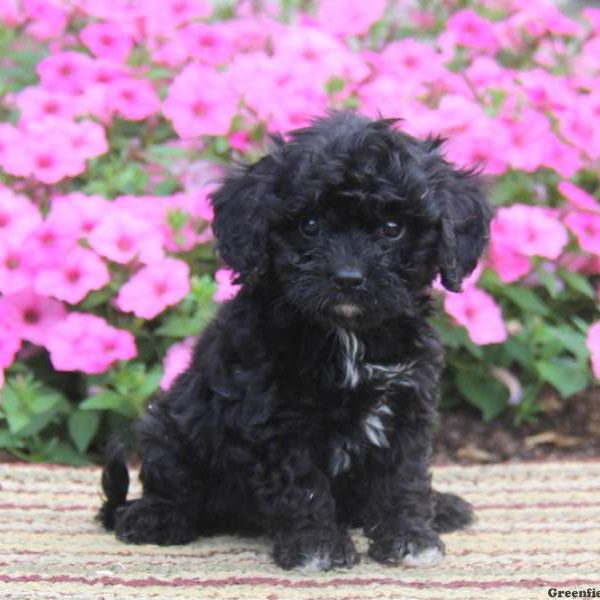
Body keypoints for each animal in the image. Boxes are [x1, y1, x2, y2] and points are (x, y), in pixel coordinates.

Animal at [99, 110, 492, 568]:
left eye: (393, 228)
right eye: (310, 225)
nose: (348, 278)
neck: (348, 336)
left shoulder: (407, 400)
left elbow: (402, 475)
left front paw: (409, 536)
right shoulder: (279, 416)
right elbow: (301, 485)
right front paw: (316, 545)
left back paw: (441, 507)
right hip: (168, 427)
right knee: (174, 485)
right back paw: (154, 517)